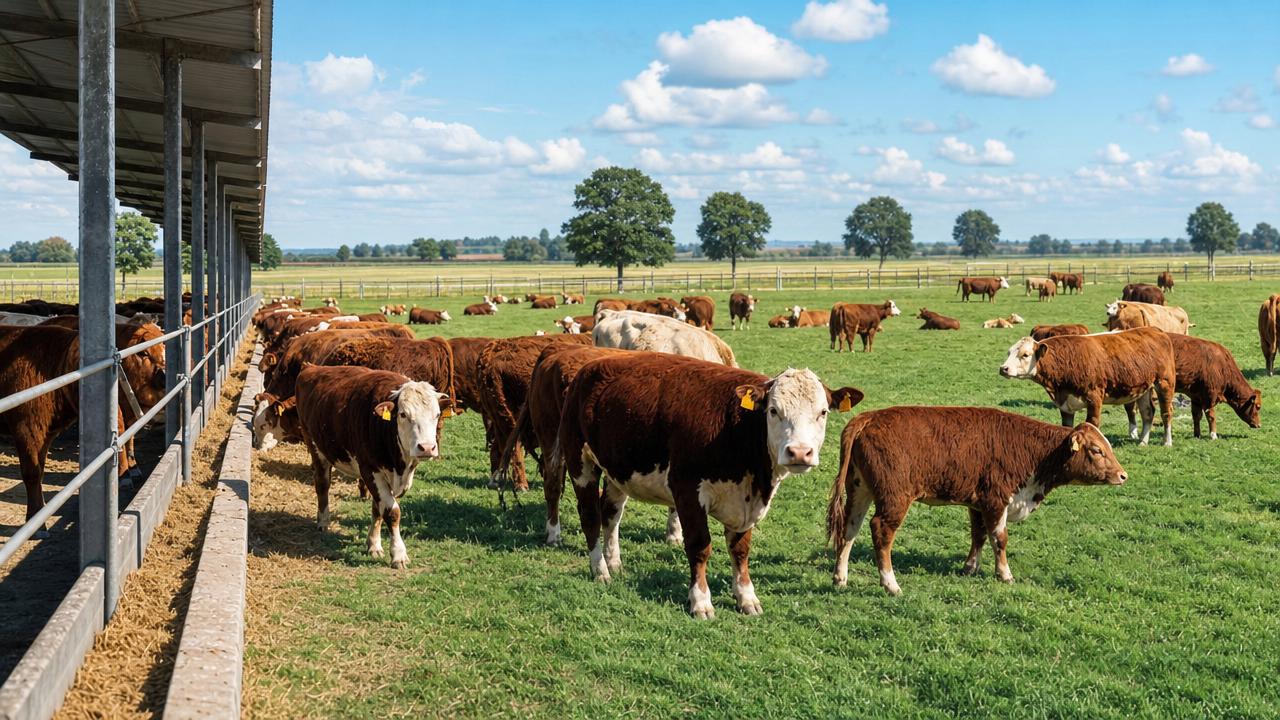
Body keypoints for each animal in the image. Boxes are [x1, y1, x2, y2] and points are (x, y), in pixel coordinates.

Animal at [295, 365, 450, 569]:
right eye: (403, 414)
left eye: (437, 414)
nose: (426, 447)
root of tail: (311, 368)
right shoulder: (370, 470)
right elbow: (391, 511)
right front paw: (398, 554)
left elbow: (378, 508)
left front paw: (374, 544)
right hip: (315, 447)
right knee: (322, 485)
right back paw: (323, 520)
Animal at [555, 352, 863, 617]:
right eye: (774, 411)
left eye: (822, 412)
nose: (799, 452)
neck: (737, 428)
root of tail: (588, 368)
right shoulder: (687, 491)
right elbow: (699, 546)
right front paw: (700, 601)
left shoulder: (746, 501)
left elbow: (740, 550)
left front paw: (746, 597)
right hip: (581, 462)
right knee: (591, 516)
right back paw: (600, 569)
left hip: (618, 468)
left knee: (611, 514)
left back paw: (614, 562)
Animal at [827, 407, 1126, 596]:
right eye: (1097, 450)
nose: (1123, 475)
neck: (1032, 451)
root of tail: (868, 418)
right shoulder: (996, 500)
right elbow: (999, 538)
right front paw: (1004, 574)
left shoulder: (977, 503)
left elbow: (978, 535)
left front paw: (970, 567)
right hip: (894, 498)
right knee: (880, 531)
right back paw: (890, 584)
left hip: (859, 489)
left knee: (849, 529)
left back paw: (840, 577)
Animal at [1000, 327, 1177, 446]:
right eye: (1009, 353)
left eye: (1025, 355)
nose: (1003, 368)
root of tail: (1154, 329)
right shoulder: (1065, 404)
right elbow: (1067, 427)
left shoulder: (1094, 397)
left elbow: (1092, 423)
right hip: (1143, 388)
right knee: (1148, 413)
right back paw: (1143, 442)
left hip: (1164, 383)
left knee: (1166, 413)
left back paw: (1166, 442)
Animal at [1124, 334, 1261, 440]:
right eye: (1258, 407)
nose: (1259, 425)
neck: (1222, 366)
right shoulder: (1210, 396)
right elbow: (1211, 416)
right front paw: (1213, 435)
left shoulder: (1196, 396)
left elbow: (1196, 416)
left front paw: (1197, 434)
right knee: (1130, 408)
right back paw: (1133, 434)